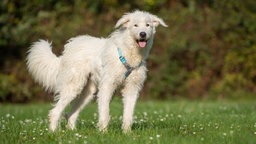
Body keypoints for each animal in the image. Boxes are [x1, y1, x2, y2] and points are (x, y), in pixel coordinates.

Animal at [26, 10, 167, 133]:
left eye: (148, 25)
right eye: (135, 25)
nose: (143, 34)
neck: (129, 53)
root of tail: (68, 48)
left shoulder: (132, 88)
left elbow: (128, 114)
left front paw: (127, 133)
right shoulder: (107, 87)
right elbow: (105, 113)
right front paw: (103, 133)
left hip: (88, 93)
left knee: (71, 114)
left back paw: (73, 133)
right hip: (74, 86)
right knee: (55, 112)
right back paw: (53, 132)